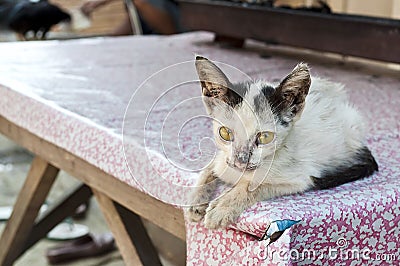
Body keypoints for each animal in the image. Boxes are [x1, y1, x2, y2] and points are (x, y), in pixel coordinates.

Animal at [188, 55, 378, 229]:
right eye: (225, 133)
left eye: (264, 137)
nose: (240, 161)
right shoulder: (223, 157)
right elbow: (209, 168)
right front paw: (196, 201)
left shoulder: (300, 179)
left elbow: (253, 185)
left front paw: (222, 207)